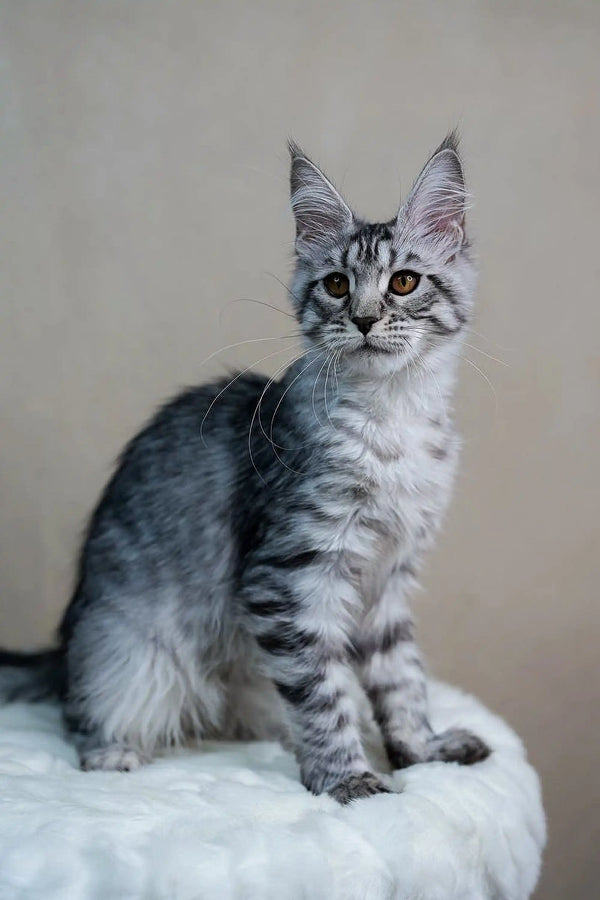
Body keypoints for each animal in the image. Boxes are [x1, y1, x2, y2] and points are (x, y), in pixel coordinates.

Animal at [0, 134, 490, 800]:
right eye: (337, 285)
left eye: (405, 282)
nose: (363, 318)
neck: (392, 420)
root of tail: (66, 638)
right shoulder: (288, 575)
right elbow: (323, 694)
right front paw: (348, 778)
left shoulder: (387, 582)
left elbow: (401, 681)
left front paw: (422, 752)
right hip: (134, 653)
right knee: (83, 710)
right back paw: (115, 753)